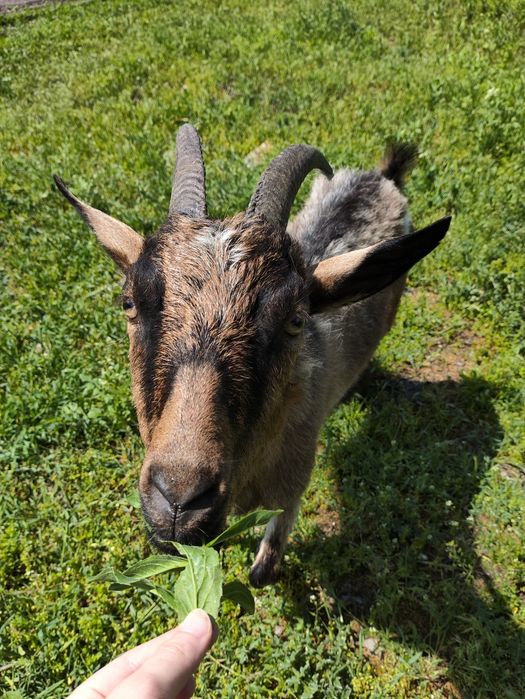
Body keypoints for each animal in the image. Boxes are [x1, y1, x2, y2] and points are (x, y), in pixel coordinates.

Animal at [55, 125, 450, 587]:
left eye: (295, 319)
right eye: (129, 303)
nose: (179, 502)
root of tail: (382, 177)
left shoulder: (292, 487)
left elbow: (264, 568)